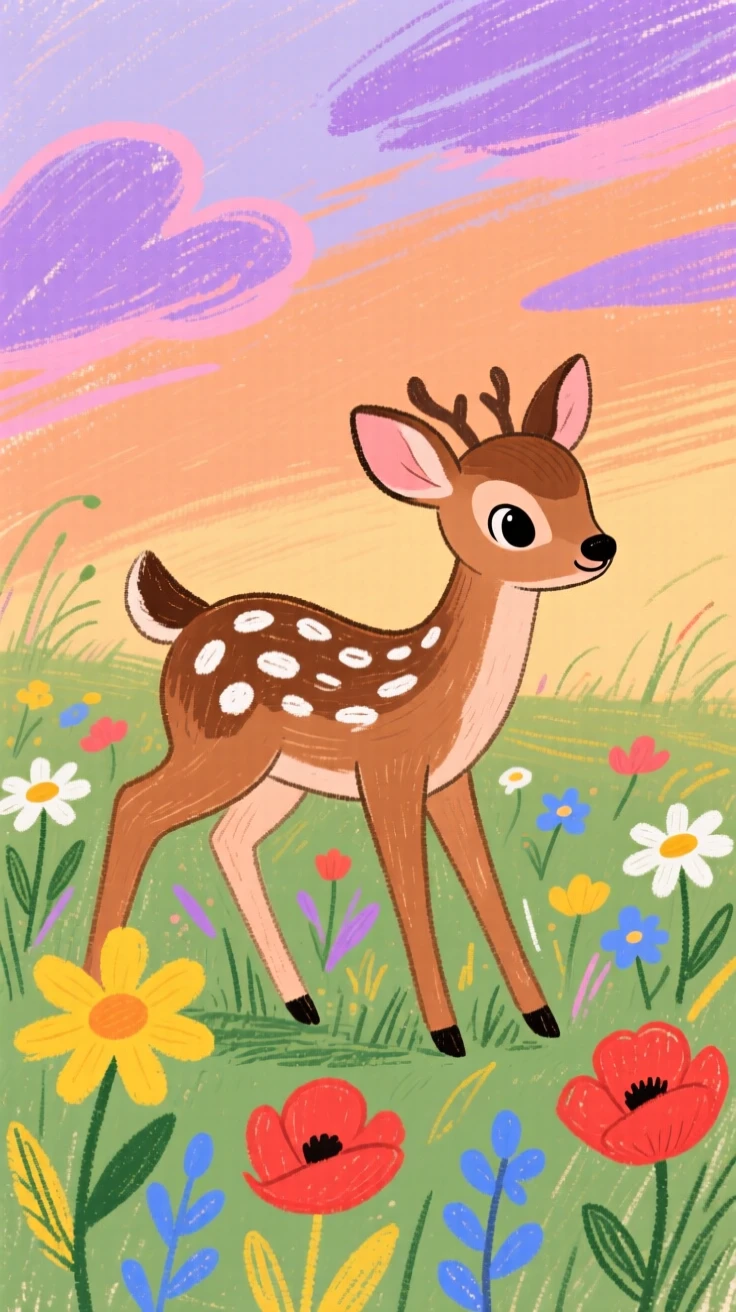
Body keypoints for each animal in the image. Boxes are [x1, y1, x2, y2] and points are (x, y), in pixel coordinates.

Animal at [84, 353, 616, 1057]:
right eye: (513, 521)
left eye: (580, 485)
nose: (600, 547)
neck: (442, 687)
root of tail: (188, 622)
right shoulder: (388, 770)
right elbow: (411, 890)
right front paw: (448, 1035)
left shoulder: (451, 781)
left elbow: (485, 883)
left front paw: (542, 1018)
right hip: (217, 745)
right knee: (134, 803)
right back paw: (89, 989)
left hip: (277, 776)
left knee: (227, 838)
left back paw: (302, 1004)